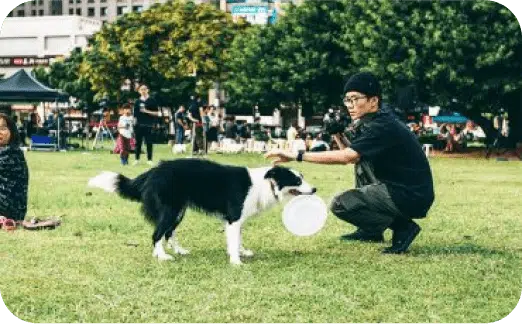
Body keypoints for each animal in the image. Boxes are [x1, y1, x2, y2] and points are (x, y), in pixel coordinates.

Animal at [87, 158, 314, 264]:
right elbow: (234, 240)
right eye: (297, 181)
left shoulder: (237, 219)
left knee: (168, 232)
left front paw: (241, 252)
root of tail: (153, 171)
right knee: (157, 234)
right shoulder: (234, 216)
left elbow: (238, 238)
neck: (266, 183)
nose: (314, 190)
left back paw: (177, 251)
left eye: (302, 178)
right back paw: (162, 256)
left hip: (178, 210)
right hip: (170, 209)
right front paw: (236, 261)